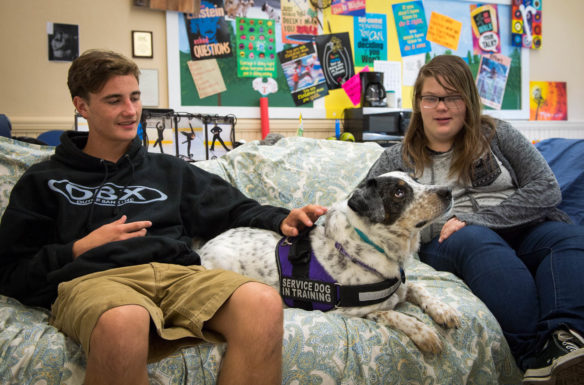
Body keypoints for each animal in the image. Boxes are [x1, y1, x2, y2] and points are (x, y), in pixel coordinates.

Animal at [200, 172, 460, 352]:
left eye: (416, 180)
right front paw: (425, 333)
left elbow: (419, 288)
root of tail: (202, 249)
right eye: (399, 192)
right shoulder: (354, 311)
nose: (448, 190)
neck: (372, 244)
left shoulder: (401, 285)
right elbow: (395, 315)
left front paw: (444, 309)